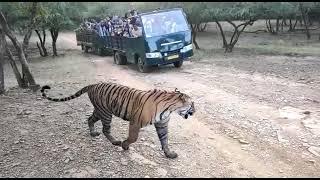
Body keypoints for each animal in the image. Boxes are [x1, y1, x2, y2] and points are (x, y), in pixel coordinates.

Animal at [40, 82, 195, 158]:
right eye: (192, 104)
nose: (195, 111)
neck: (169, 108)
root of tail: (93, 85)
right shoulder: (135, 122)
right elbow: (133, 138)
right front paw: (125, 145)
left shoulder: (162, 124)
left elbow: (165, 140)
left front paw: (169, 154)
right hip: (106, 113)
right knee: (105, 129)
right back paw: (115, 142)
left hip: (100, 110)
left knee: (90, 119)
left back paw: (93, 133)